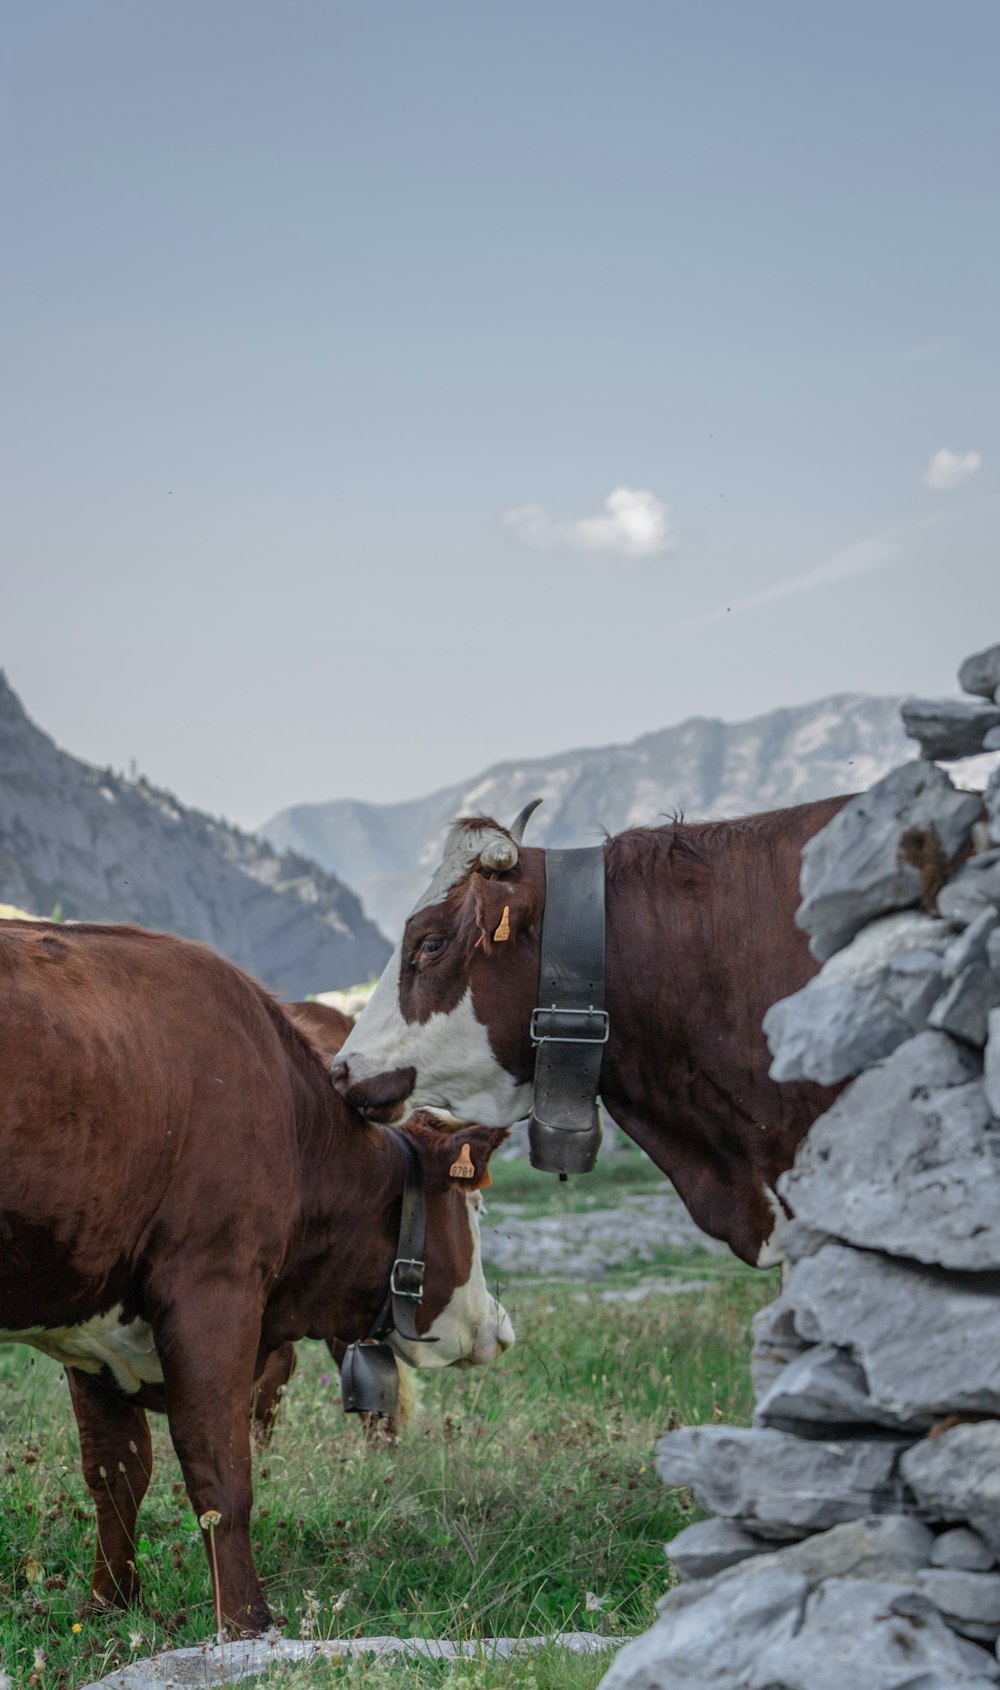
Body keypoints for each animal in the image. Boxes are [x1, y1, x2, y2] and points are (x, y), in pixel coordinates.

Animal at [0, 926, 510, 1635]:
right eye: (475, 1205)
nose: (499, 1325)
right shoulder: (214, 1284)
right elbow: (220, 1472)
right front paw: (246, 1621)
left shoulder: (92, 1327)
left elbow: (116, 1471)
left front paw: (108, 1606)